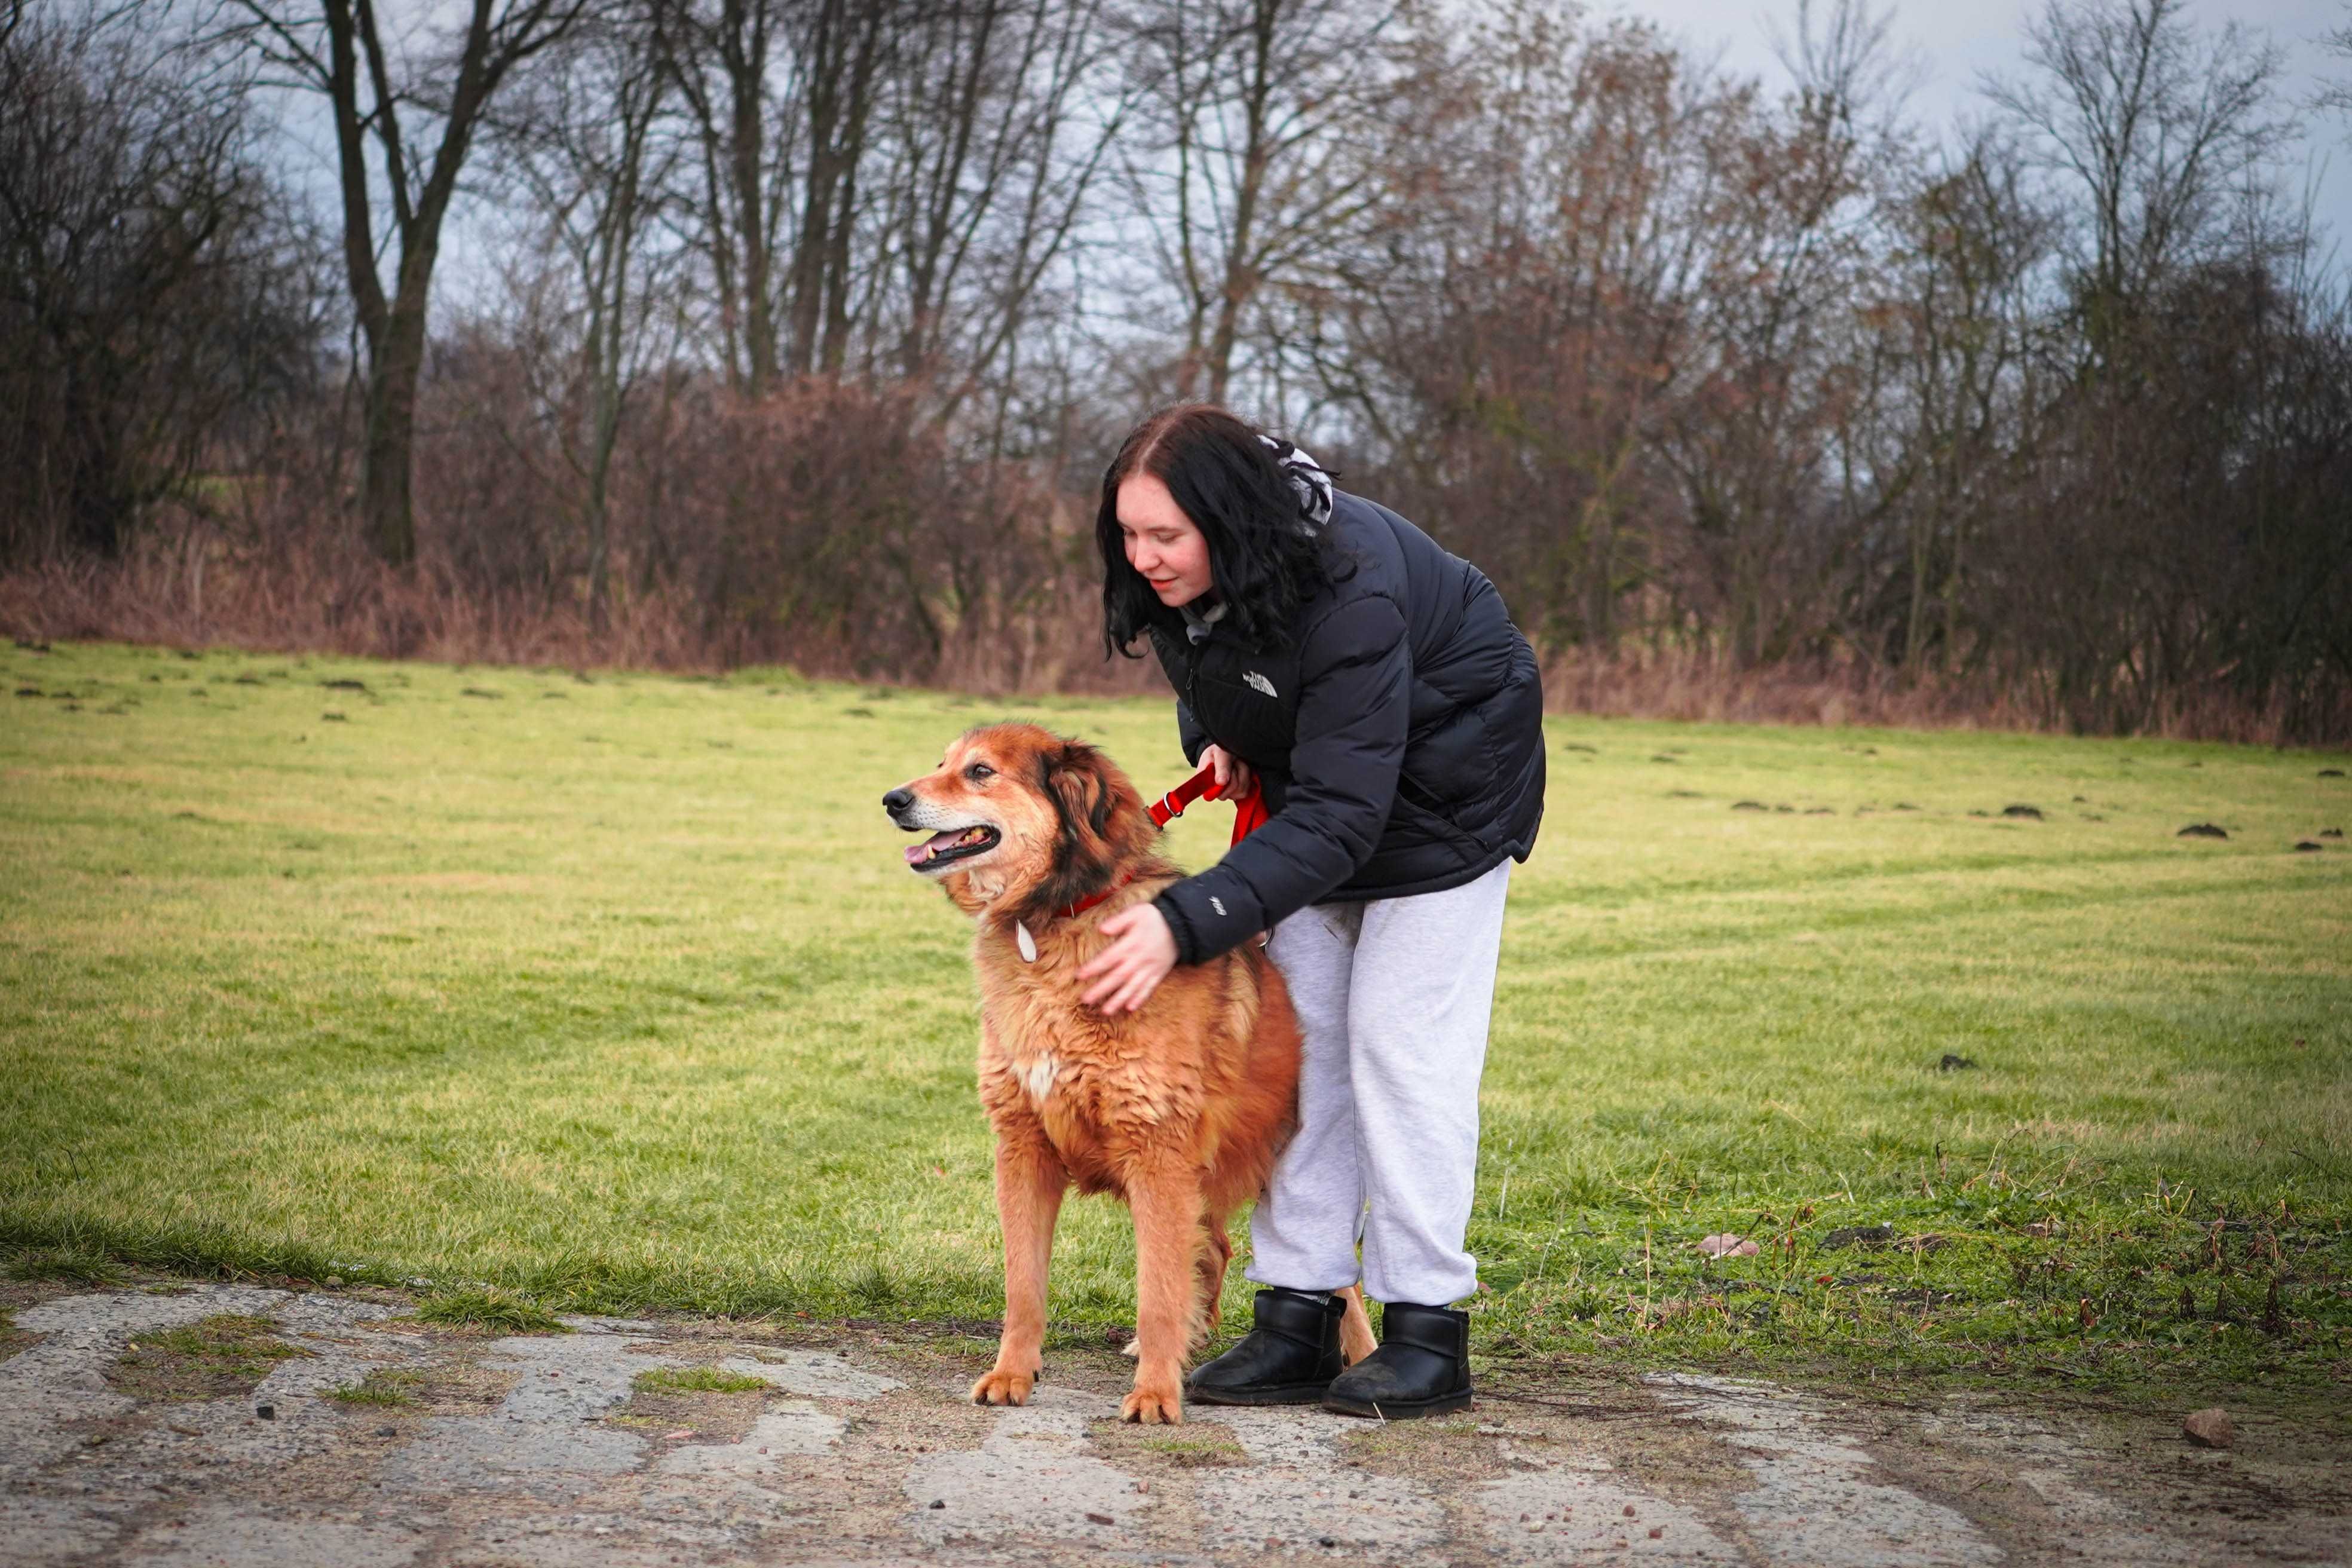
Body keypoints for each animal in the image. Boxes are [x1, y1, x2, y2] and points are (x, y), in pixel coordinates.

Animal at [893, 724, 1373, 1420]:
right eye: (943, 764)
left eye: (981, 771)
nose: (892, 799)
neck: (1061, 918)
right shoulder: (1024, 1148)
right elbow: (1024, 1287)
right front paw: (1013, 1373)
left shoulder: (1157, 1152)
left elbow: (1157, 1292)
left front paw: (1155, 1392)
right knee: (1217, 1248)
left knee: (1341, 1280)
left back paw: (1361, 1359)